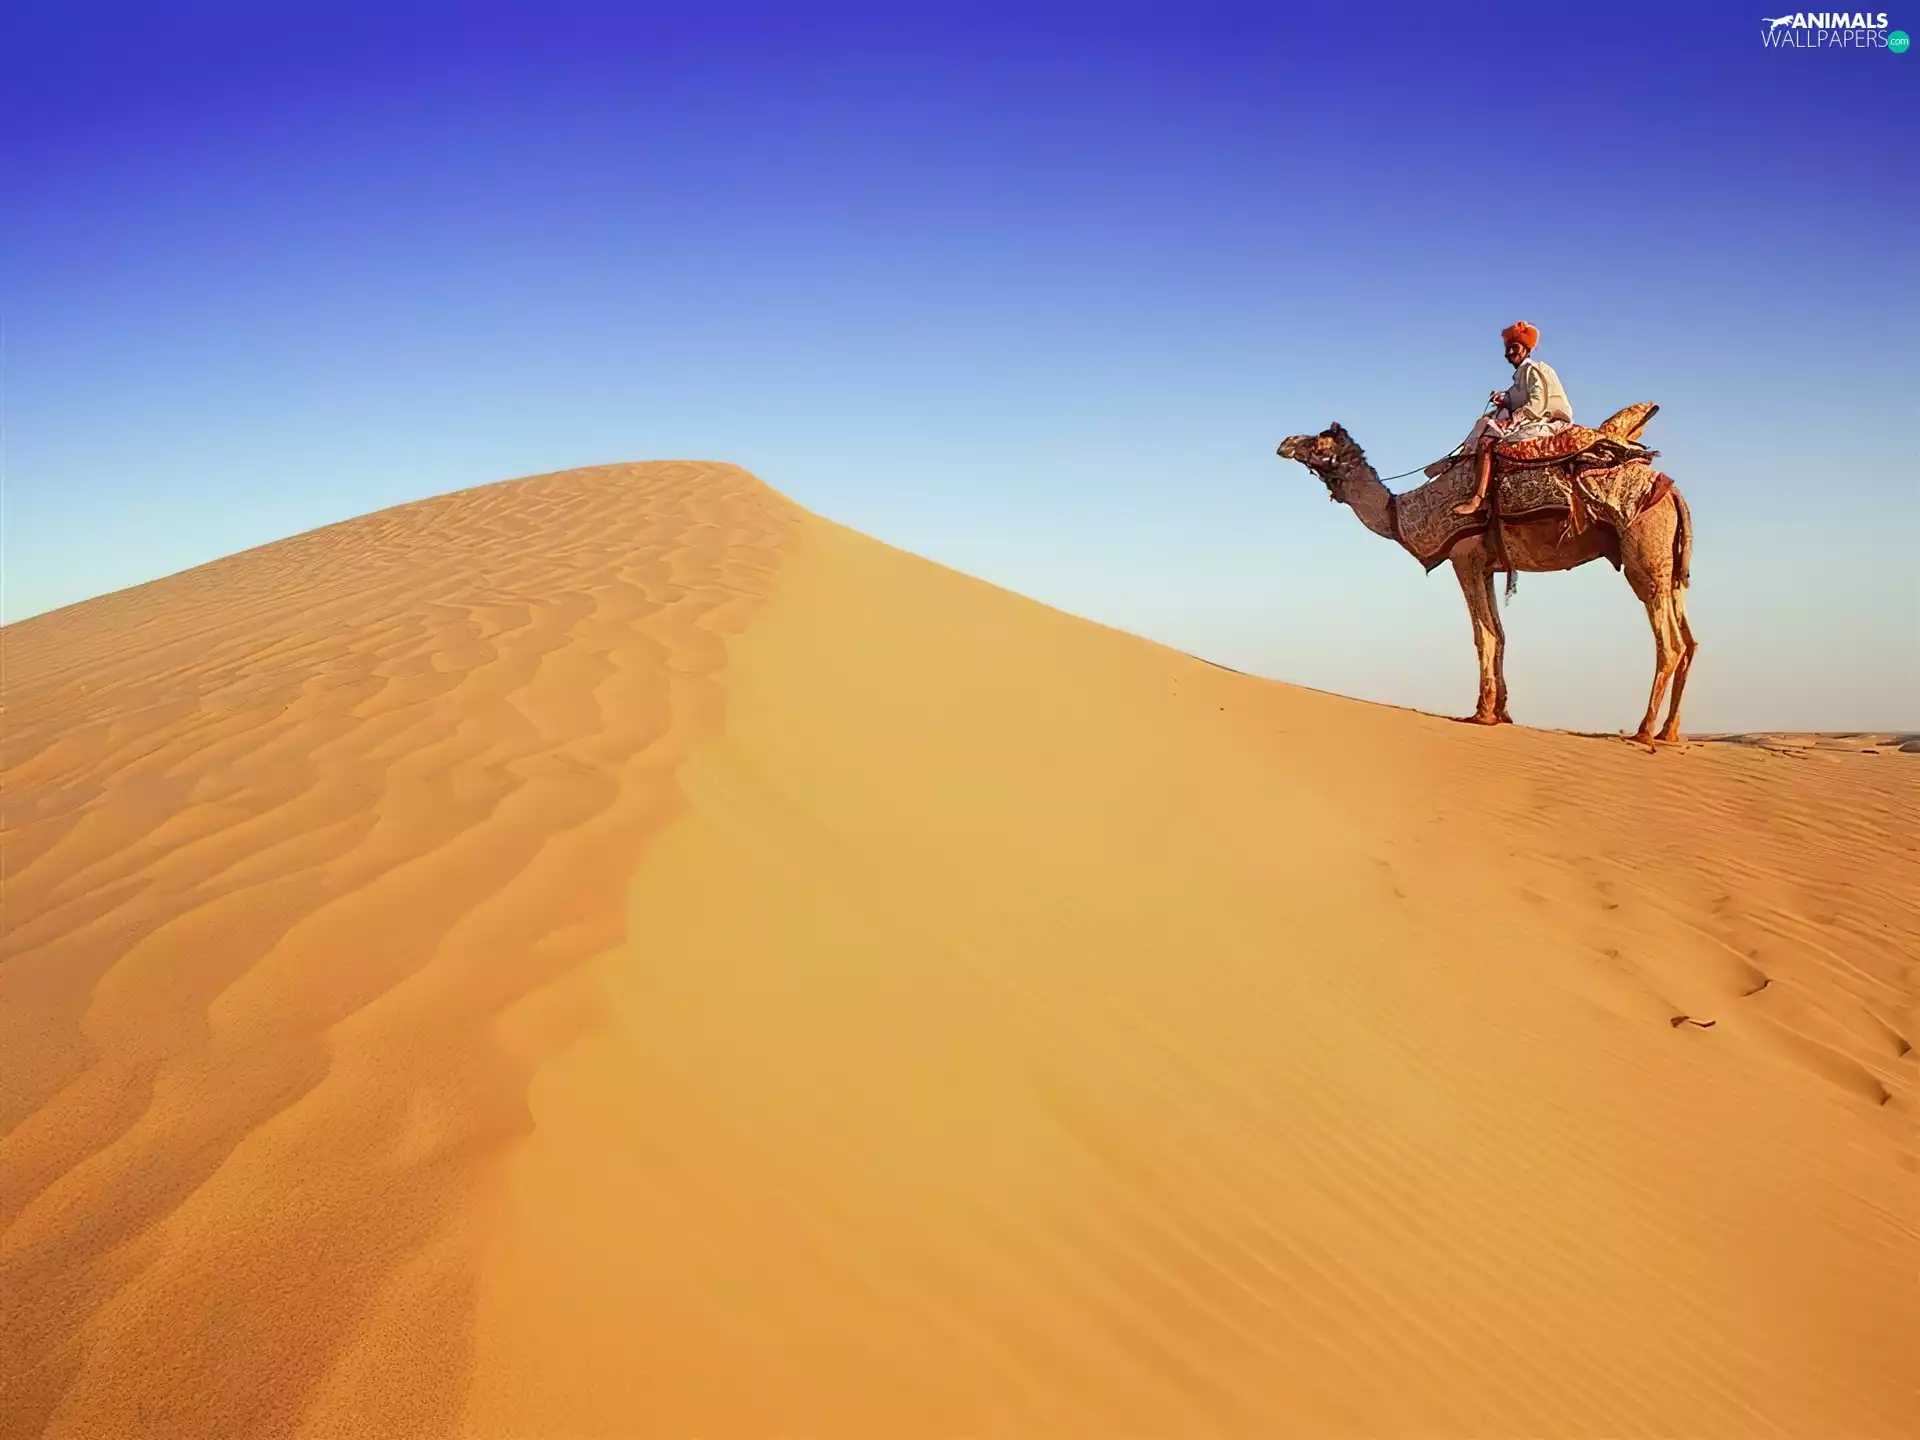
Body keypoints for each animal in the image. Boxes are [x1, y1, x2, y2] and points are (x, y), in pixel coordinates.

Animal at [1276, 424, 1697, 743]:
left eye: (1320, 440)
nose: (1285, 443)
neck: (1402, 514)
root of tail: (1675, 494)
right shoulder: (1489, 566)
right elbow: (1500, 633)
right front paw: (1503, 712)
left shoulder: (1464, 558)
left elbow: (1484, 636)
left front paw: (1481, 714)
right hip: (1670, 567)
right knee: (1690, 642)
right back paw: (1669, 733)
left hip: (1644, 555)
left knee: (1670, 644)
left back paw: (1644, 731)